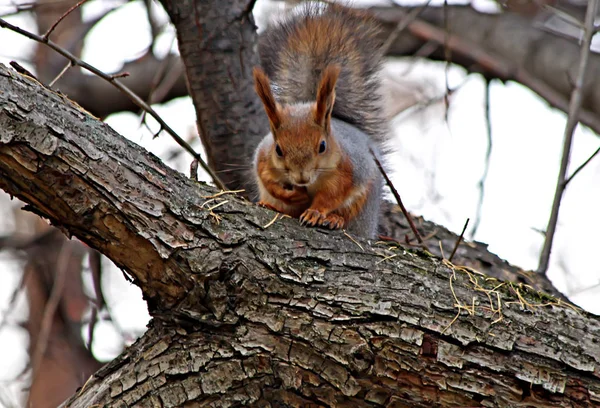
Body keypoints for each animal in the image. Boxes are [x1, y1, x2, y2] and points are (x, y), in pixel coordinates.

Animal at [250, 2, 386, 239]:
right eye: (278, 149)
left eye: (322, 146)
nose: (301, 178)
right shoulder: (264, 156)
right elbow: (265, 176)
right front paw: (288, 195)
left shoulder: (349, 168)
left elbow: (332, 195)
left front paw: (315, 212)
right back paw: (272, 205)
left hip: (362, 212)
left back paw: (334, 219)